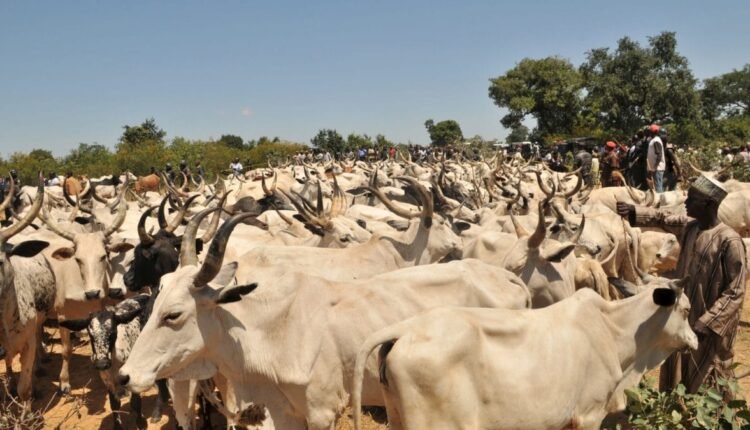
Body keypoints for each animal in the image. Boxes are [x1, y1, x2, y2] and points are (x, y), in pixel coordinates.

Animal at [117, 211, 531, 430]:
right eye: (155, 300)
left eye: (174, 314)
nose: (125, 376)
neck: (270, 331)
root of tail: (508, 278)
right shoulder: (282, 413)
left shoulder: (323, 413)